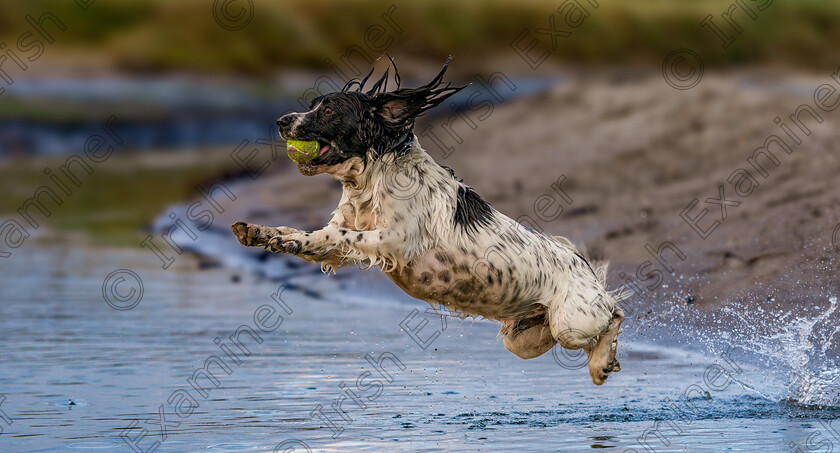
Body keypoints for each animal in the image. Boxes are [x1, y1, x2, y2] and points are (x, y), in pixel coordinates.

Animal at [230, 59, 624, 384]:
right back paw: (604, 362)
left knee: (616, 313)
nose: (281, 120)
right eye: (313, 105)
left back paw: (601, 363)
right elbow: (316, 236)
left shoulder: (395, 240)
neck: (372, 179)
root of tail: (582, 263)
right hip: (525, 337)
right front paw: (264, 234)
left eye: (327, 109)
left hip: (571, 322)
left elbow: (341, 236)